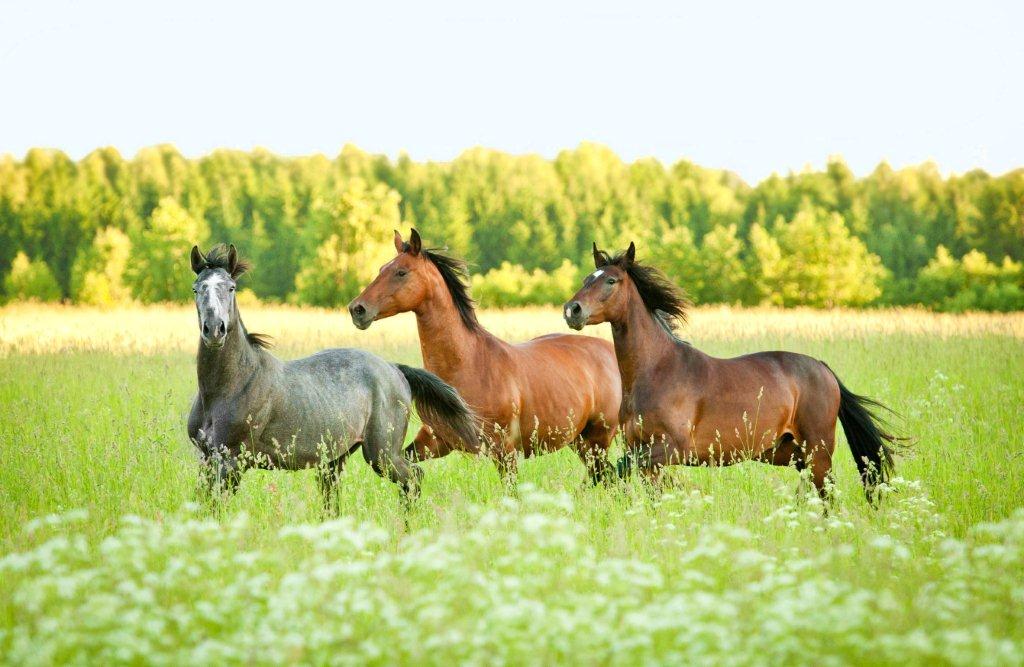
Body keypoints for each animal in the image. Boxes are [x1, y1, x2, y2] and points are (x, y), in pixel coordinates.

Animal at [185, 242, 479, 508]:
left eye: (231, 288)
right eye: (197, 288)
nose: (215, 330)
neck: (231, 386)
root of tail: (395, 369)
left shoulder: (232, 460)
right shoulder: (207, 459)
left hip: (382, 454)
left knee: (414, 478)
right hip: (335, 459)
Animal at [348, 229, 618, 485]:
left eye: (401, 272)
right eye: (382, 269)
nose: (357, 309)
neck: (469, 364)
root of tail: (609, 351)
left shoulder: (504, 450)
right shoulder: (435, 441)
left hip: (598, 439)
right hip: (580, 441)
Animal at [565, 242, 901, 504]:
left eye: (611, 281)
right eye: (586, 278)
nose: (572, 310)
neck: (657, 371)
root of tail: (823, 368)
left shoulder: (672, 449)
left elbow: (619, 468)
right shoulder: (642, 450)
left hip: (818, 450)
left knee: (827, 494)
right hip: (790, 453)